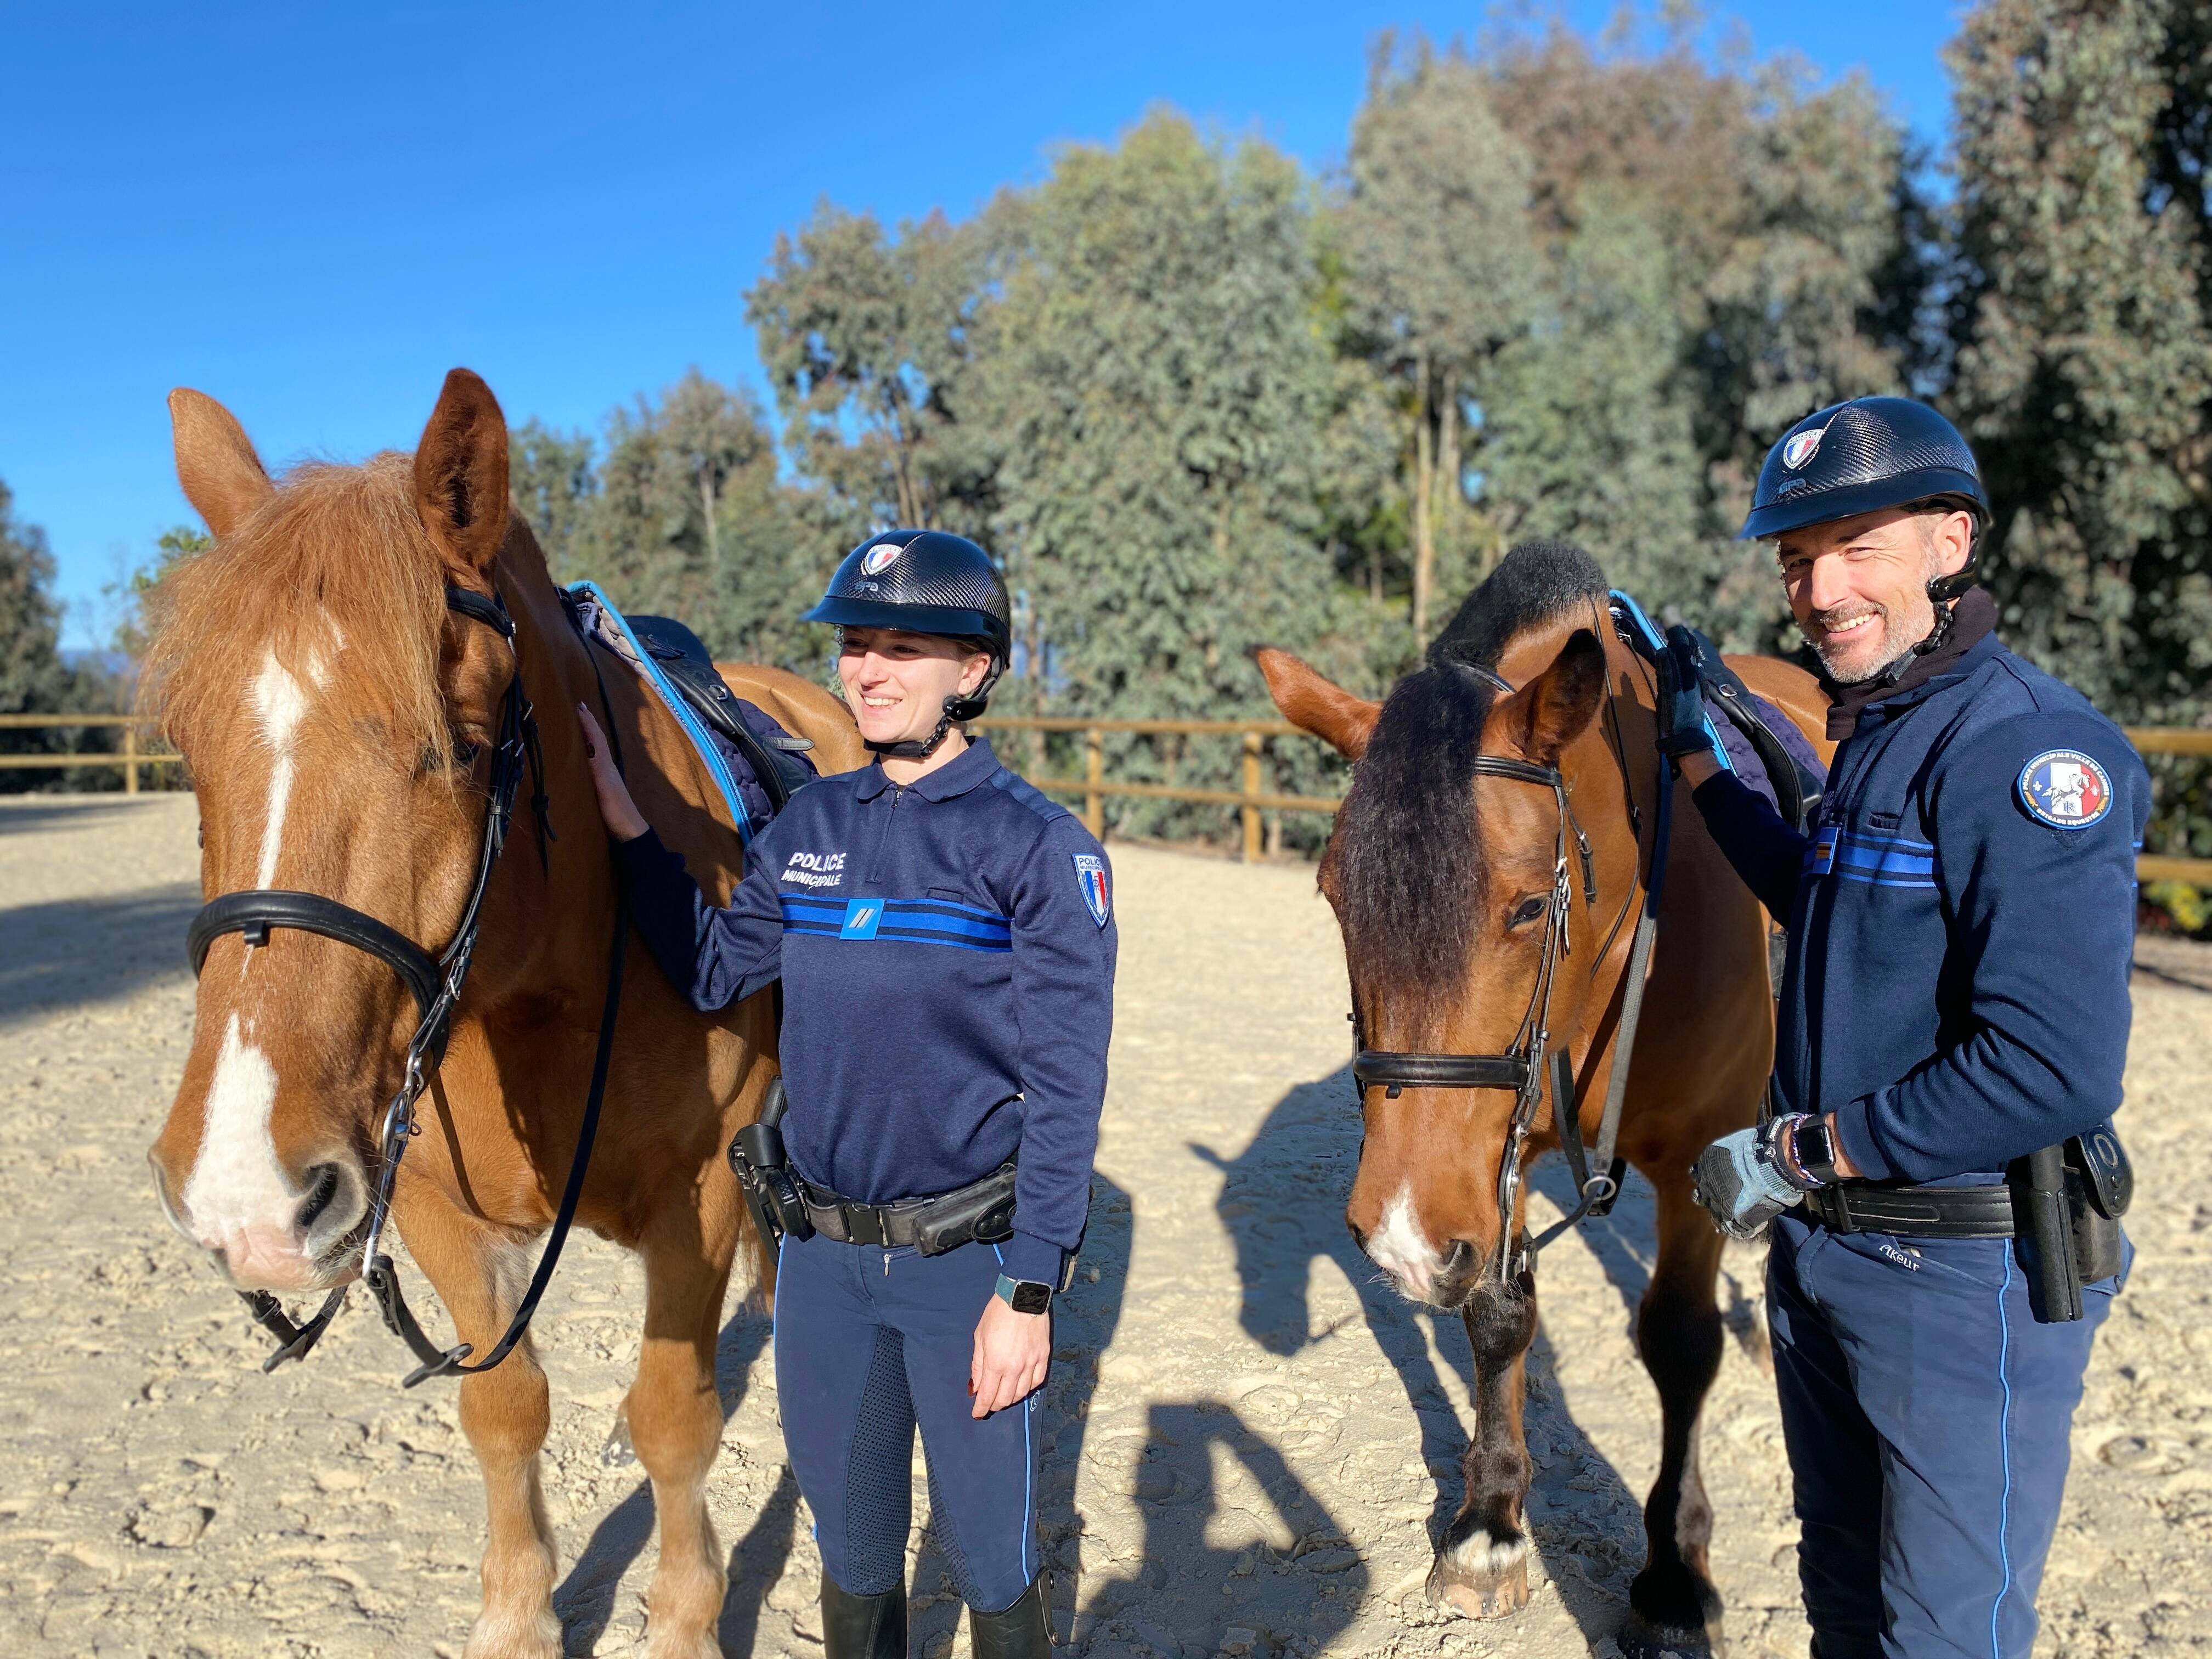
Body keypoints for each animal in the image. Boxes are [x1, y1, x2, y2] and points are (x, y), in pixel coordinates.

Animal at [140, 369, 866, 1659]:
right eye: (189, 748)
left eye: (462, 747)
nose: (242, 1197)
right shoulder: (435, 1208)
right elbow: (503, 1407)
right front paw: (519, 1616)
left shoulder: (702, 1189)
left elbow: (677, 1417)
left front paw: (685, 1619)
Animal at [1255, 540, 1831, 1658]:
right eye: (1336, 898)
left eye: (1526, 906)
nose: (1396, 1238)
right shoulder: (1494, 1150)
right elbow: (1498, 1318)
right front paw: (1490, 1526)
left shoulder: (1694, 1162)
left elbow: (1679, 1344)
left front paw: (1674, 1574)